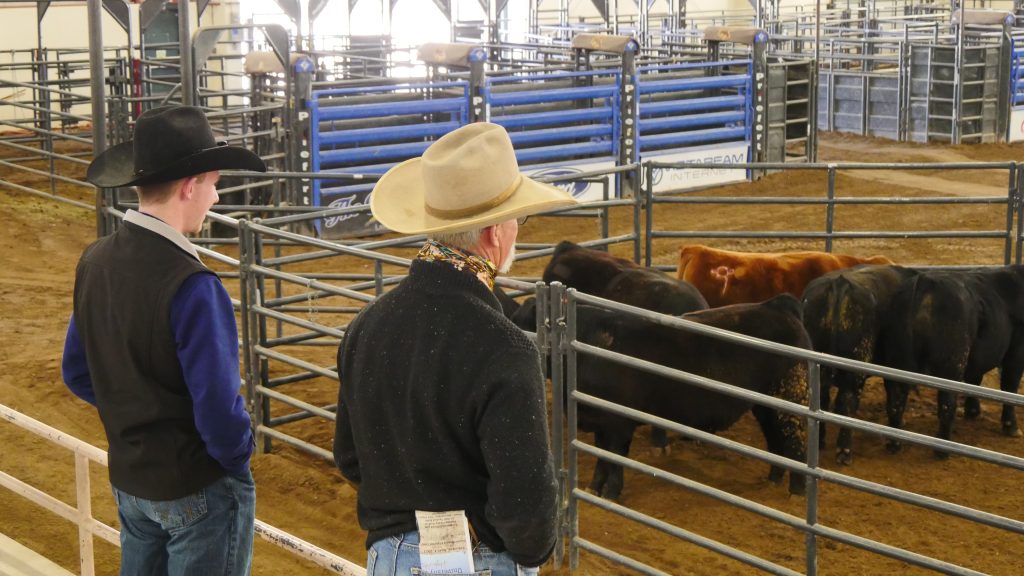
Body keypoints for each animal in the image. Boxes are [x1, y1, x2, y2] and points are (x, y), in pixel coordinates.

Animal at [577, 293, 806, 496]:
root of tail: (777, 305)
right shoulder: (601, 422)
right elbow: (601, 456)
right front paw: (594, 487)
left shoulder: (620, 422)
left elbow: (614, 457)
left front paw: (611, 492)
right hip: (766, 406)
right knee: (775, 440)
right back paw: (774, 480)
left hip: (790, 398)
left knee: (796, 441)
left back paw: (797, 491)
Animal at [798, 262, 921, 463]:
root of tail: (839, 285)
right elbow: (895, 401)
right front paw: (895, 443)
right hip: (855, 370)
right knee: (848, 401)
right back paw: (844, 451)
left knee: (823, 398)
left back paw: (821, 440)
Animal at [880, 266, 1024, 457]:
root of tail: (925, 282)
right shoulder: (1017, 352)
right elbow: (1009, 386)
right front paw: (1011, 427)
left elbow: (974, 380)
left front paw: (972, 411)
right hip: (952, 364)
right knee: (947, 404)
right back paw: (943, 450)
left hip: (898, 360)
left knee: (896, 400)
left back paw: (894, 443)